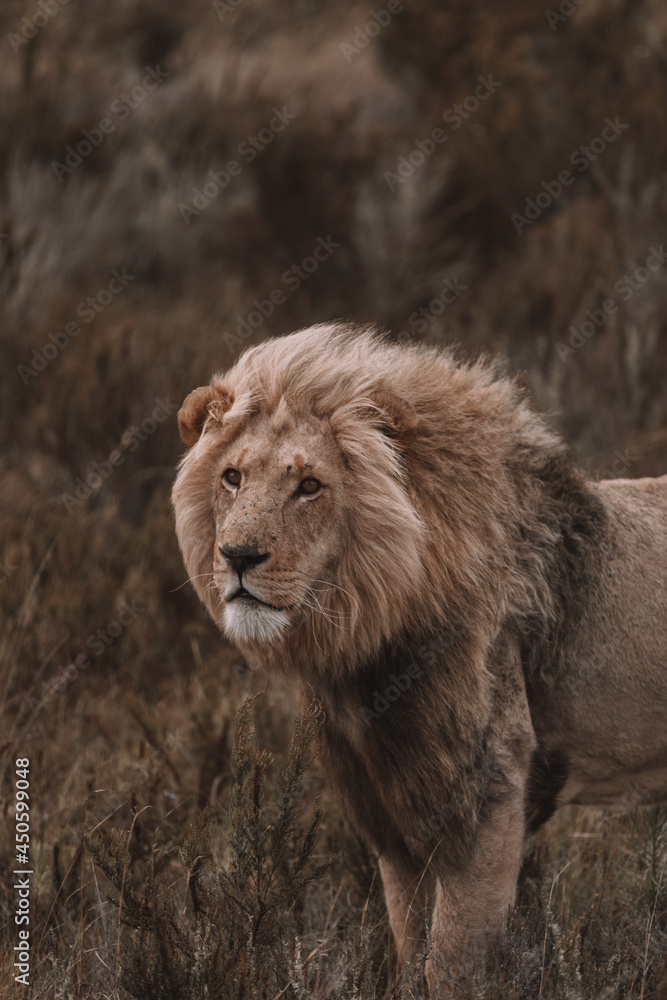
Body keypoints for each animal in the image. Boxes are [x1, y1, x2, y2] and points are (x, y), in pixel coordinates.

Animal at [172, 324, 667, 988]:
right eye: (231, 477)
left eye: (309, 485)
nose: (238, 556)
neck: (360, 650)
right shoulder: (391, 816)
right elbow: (411, 950)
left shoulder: (489, 794)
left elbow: (450, 962)